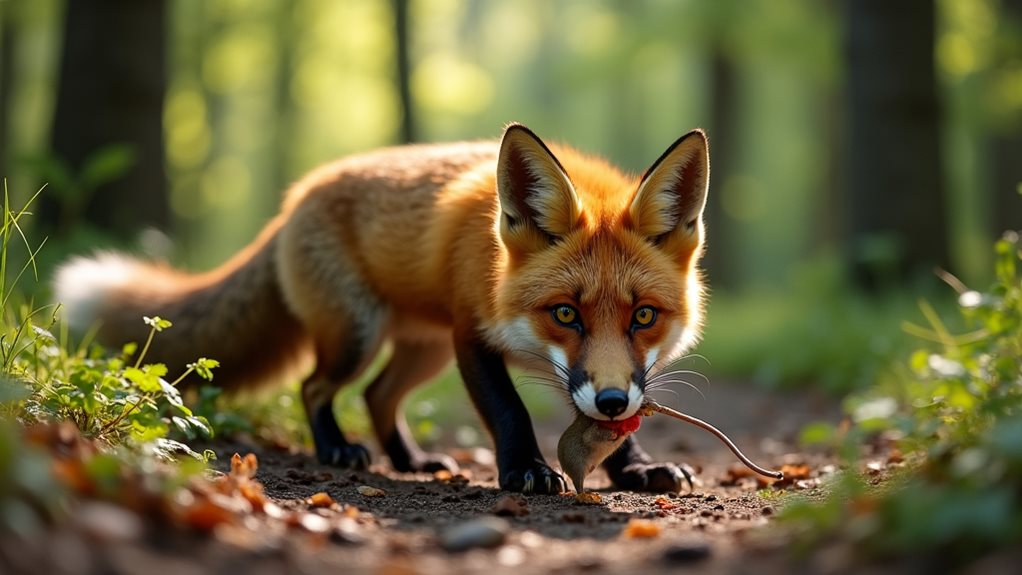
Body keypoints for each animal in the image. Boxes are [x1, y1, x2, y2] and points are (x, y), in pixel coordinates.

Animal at [55, 123, 710, 494]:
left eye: (644, 317)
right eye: (566, 314)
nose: (612, 400)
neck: (493, 262)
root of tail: (293, 200)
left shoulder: (588, 371)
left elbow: (612, 430)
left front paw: (636, 469)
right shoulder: (472, 335)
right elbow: (509, 412)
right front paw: (525, 469)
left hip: (422, 350)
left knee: (376, 395)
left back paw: (411, 460)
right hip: (358, 336)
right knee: (316, 387)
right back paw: (337, 450)